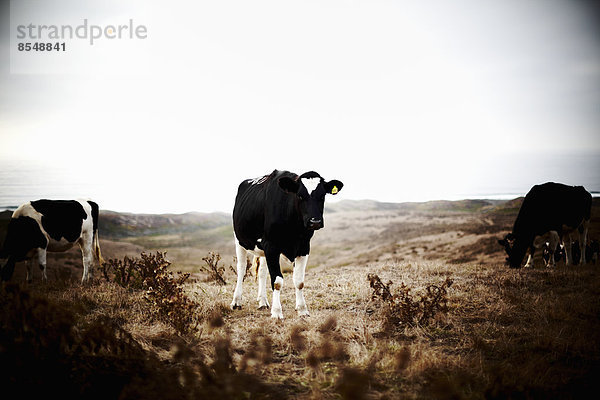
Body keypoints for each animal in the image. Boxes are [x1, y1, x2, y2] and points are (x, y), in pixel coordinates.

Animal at [230, 169, 342, 318]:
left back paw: (263, 301)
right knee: (241, 268)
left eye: (322, 195)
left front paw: (302, 310)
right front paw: (277, 312)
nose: (315, 221)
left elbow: (299, 281)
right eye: (300, 196)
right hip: (239, 240)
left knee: (262, 271)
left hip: (262, 248)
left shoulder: (303, 247)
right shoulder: (271, 246)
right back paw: (236, 302)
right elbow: (277, 281)